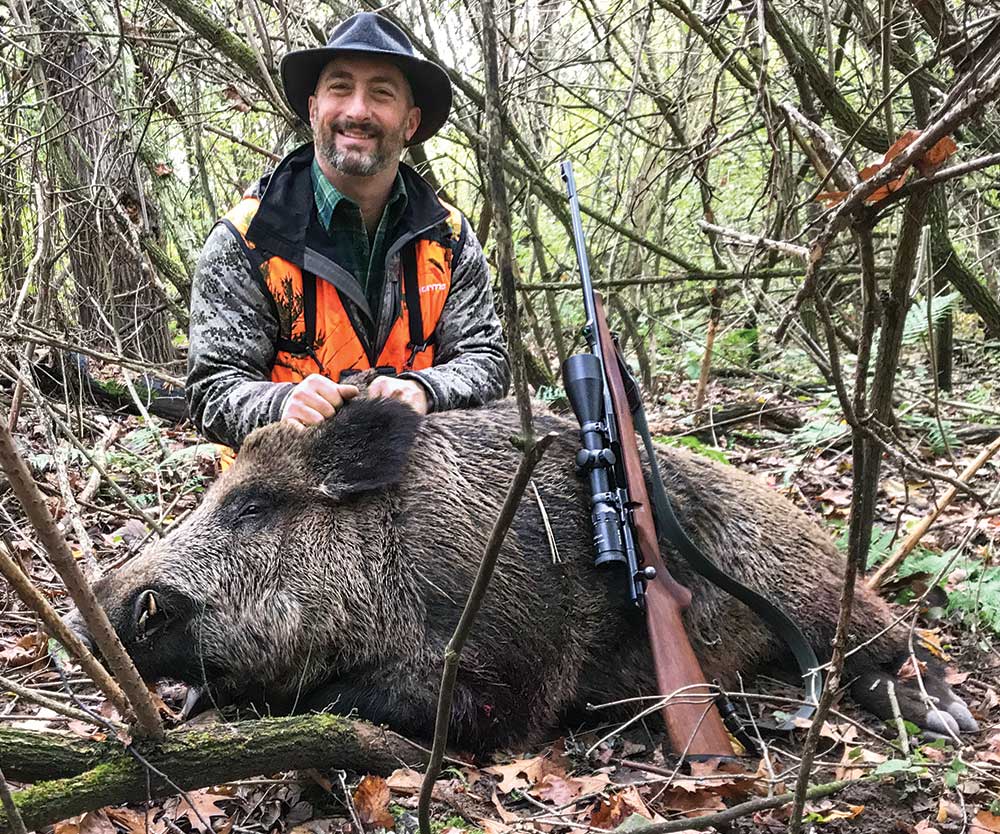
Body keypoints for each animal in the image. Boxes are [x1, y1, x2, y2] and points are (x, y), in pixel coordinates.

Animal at [72, 397, 978, 750]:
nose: (95, 608)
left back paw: (947, 715)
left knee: (881, 637)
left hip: (808, 580)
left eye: (254, 506)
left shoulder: (511, 673)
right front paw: (193, 702)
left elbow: (363, 701)